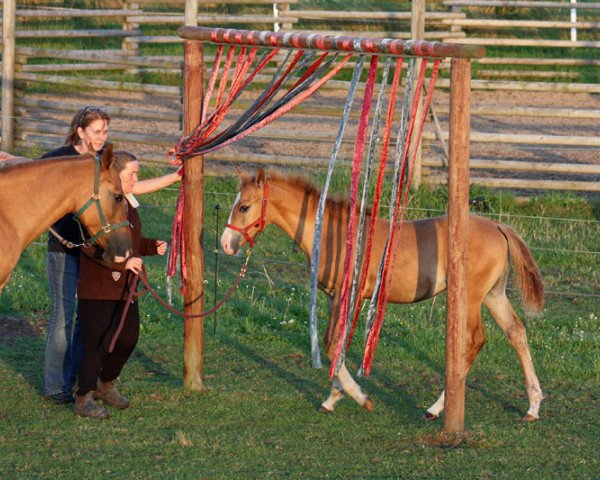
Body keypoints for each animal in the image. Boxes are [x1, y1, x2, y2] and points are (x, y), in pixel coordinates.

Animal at [220, 168, 544, 420]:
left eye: (244, 206)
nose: (225, 244)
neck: (335, 235)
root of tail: (499, 226)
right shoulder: (337, 298)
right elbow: (338, 344)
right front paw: (333, 397)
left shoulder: (347, 296)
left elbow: (330, 342)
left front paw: (360, 397)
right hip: (493, 295)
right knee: (516, 332)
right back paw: (533, 406)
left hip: (472, 297)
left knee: (475, 340)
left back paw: (435, 408)